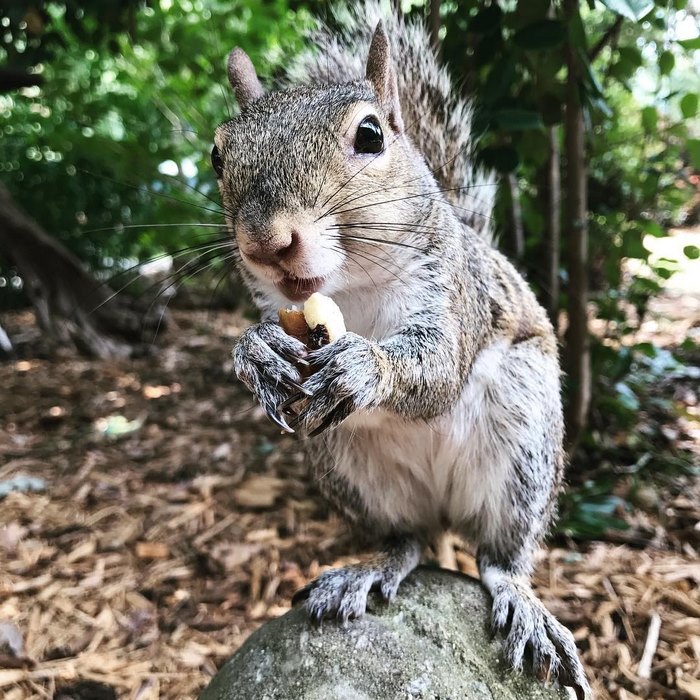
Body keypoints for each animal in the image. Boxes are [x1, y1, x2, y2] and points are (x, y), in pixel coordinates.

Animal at [213, 2, 592, 696]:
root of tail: (442, 510)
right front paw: (254, 354)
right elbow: (260, 336)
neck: (352, 291)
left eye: (370, 136)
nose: (266, 243)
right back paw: (371, 568)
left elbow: (437, 372)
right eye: (217, 154)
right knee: (407, 542)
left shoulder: (456, 296)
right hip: (350, 468)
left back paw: (520, 599)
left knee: (502, 556)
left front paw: (367, 367)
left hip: (522, 446)